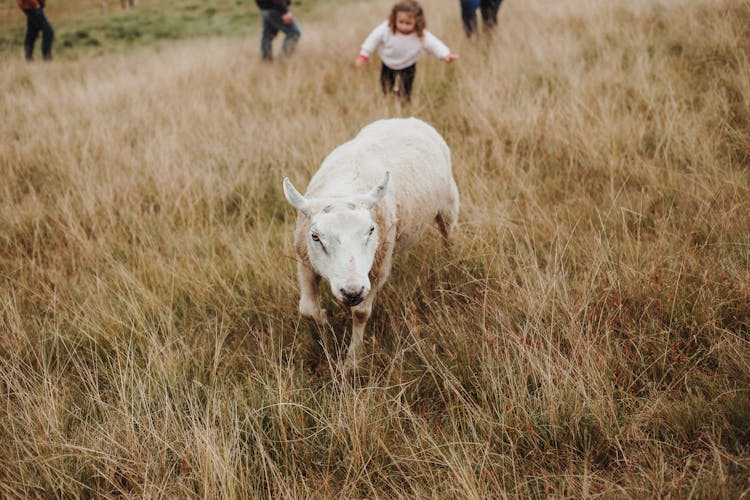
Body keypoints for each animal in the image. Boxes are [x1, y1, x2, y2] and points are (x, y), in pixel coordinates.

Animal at [282, 115, 458, 370]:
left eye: (371, 230)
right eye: (315, 237)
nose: (352, 292)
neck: (342, 191)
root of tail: (403, 119)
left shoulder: (376, 269)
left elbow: (361, 313)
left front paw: (353, 361)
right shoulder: (305, 261)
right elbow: (307, 309)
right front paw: (324, 319)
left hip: (448, 205)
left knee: (448, 236)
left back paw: (449, 261)